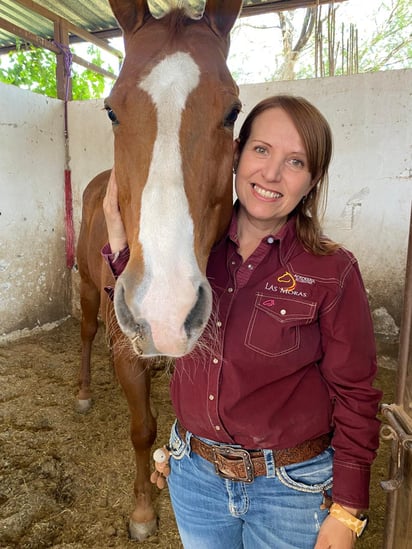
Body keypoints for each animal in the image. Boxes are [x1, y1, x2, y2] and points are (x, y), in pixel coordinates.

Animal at [75, 0, 241, 540]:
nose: (164, 309)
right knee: (86, 331)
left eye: (232, 111)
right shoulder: (127, 351)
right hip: (88, 289)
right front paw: (144, 512)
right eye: (111, 109)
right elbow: (142, 428)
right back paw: (83, 391)